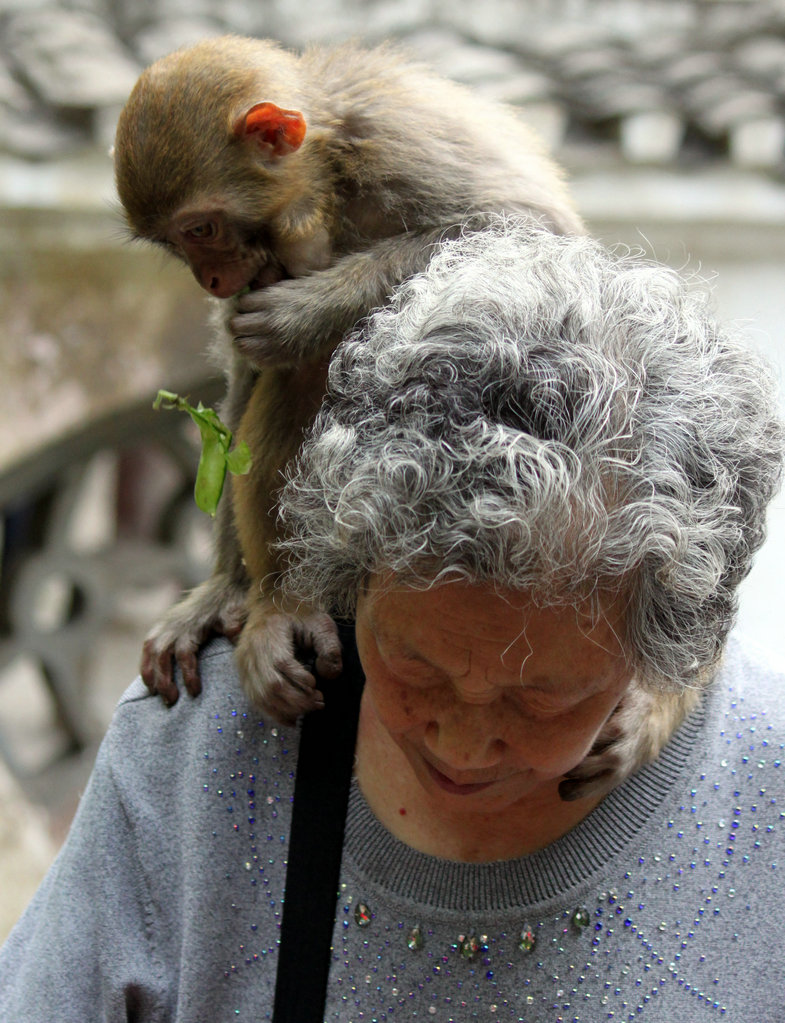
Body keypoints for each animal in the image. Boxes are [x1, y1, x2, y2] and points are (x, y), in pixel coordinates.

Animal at [112, 31, 695, 797]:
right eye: (181, 243)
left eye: (201, 227)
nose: (209, 278)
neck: (327, 171)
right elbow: (245, 375)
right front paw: (222, 589)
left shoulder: (398, 145)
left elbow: (524, 229)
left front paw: (305, 310)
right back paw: (273, 599)